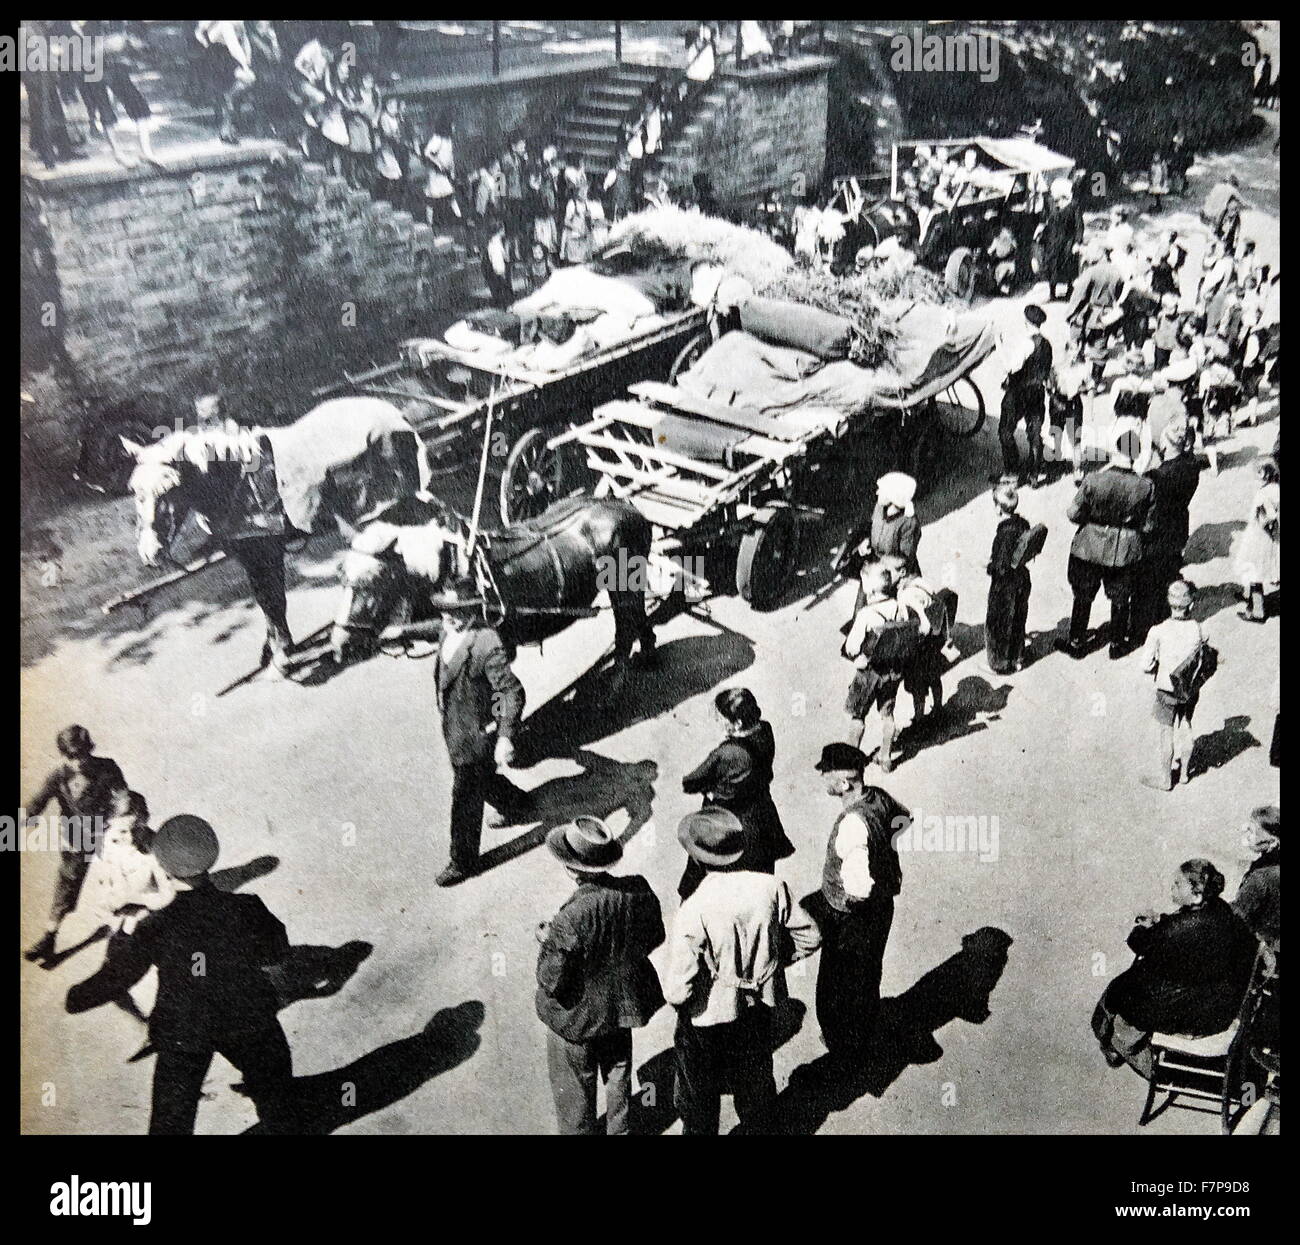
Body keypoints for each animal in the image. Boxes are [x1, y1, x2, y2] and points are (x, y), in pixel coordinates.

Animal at [335, 493, 660, 670]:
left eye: (373, 583)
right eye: (341, 578)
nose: (339, 645)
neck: (449, 567)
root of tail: (626, 506)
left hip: (623, 584)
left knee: (626, 623)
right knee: (638, 615)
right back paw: (647, 654)